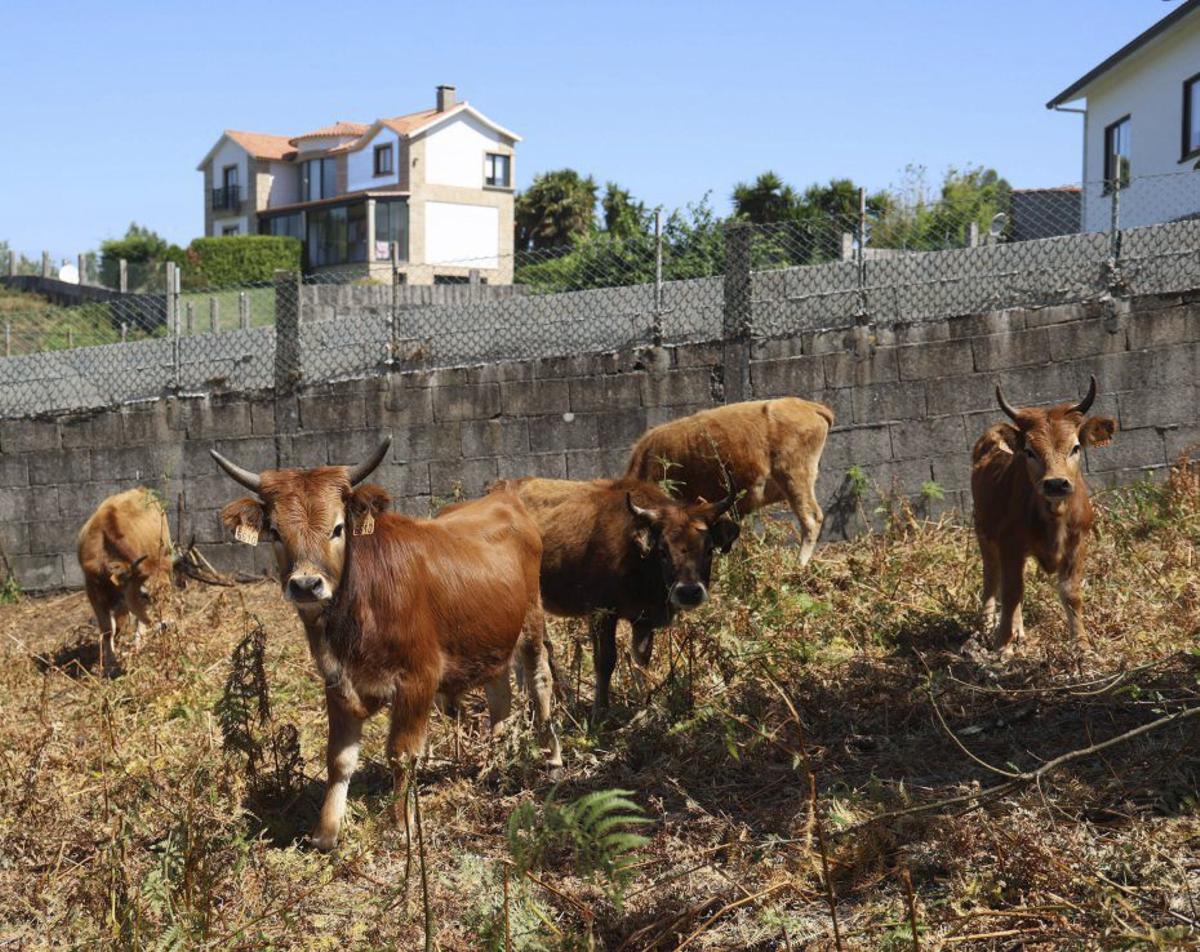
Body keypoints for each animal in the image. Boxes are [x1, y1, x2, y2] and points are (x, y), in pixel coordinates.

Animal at [77, 487, 174, 672]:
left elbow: (122, 624)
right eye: (144, 594)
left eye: (169, 591)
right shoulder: (92, 590)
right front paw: (110, 663)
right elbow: (108, 629)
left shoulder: (124, 596)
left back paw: (137, 644)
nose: (167, 625)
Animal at [213, 438, 560, 851]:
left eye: (338, 528)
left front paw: (400, 824)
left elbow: (401, 753)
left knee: (540, 681)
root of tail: (504, 497)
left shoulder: (418, 679)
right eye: (277, 532)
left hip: (532, 622)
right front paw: (326, 831)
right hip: (492, 638)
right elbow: (339, 758)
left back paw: (551, 755)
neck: (359, 611)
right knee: (499, 698)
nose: (306, 585)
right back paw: (496, 763)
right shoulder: (337, 681)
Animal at [496, 476, 739, 720]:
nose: (689, 592)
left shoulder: (644, 619)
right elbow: (606, 660)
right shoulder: (601, 614)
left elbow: (641, 659)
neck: (637, 558)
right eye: (663, 550)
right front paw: (600, 711)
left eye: (709, 549)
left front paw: (643, 707)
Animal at [970, 375, 1117, 658]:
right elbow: (1012, 592)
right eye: (1029, 451)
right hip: (984, 532)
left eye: (1075, 447)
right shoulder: (1010, 545)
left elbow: (1071, 593)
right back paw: (987, 625)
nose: (1056, 483)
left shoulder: (1077, 542)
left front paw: (1081, 644)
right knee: (992, 577)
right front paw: (1002, 644)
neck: (1054, 515)